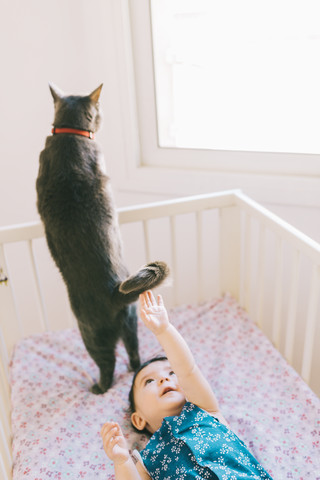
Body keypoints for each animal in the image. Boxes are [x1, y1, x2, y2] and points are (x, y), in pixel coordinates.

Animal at [36, 84, 169, 394]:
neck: (70, 135)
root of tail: (113, 292)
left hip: (90, 334)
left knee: (107, 363)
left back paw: (99, 387)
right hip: (131, 321)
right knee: (133, 354)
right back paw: (133, 368)